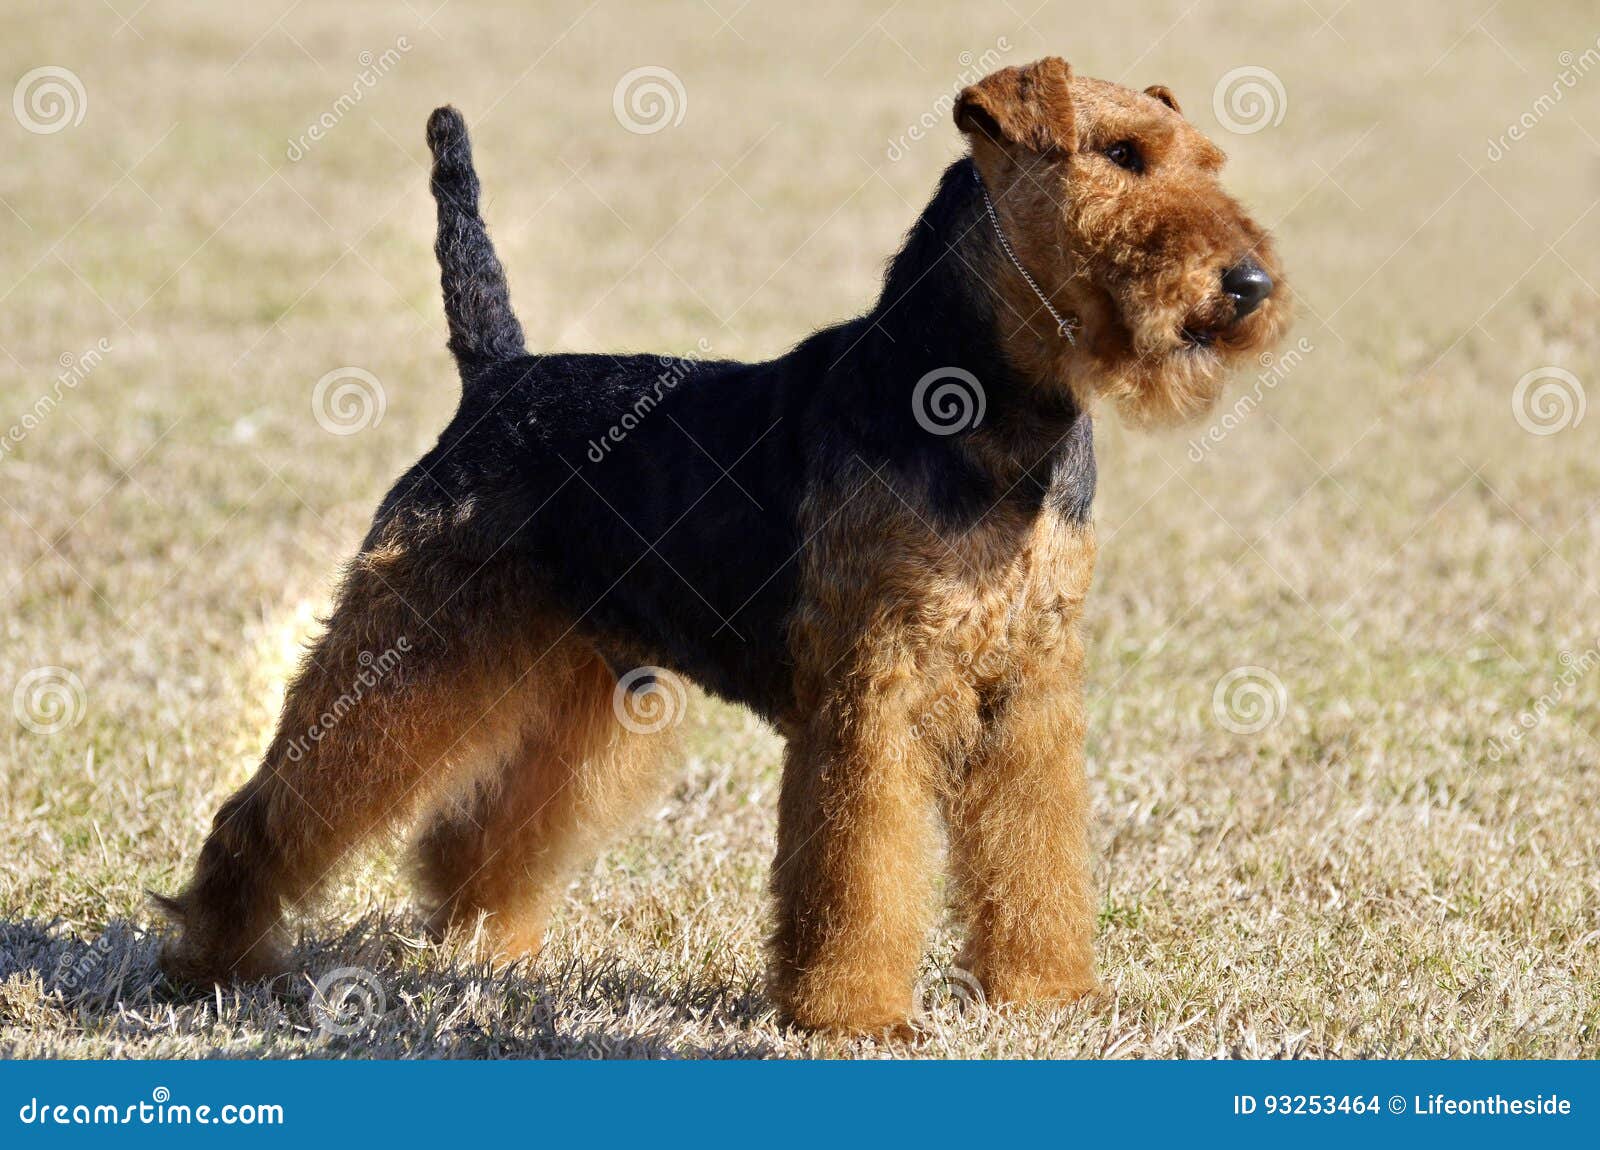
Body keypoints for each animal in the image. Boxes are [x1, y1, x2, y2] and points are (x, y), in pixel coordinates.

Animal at [159, 58, 1286, 1036]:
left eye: (1206, 163)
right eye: (1123, 155)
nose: (1249, 284)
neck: (993, 411)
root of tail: (499, 377)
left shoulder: (1031, 687)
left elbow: (1030, 852)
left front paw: (1045, 994)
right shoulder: (872, 688)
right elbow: (857, 870)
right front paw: (851, 1011)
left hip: (580, 675)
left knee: (481, 832)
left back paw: (492, 950)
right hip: (414, 649)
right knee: (271, 810)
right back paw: (215, 957)